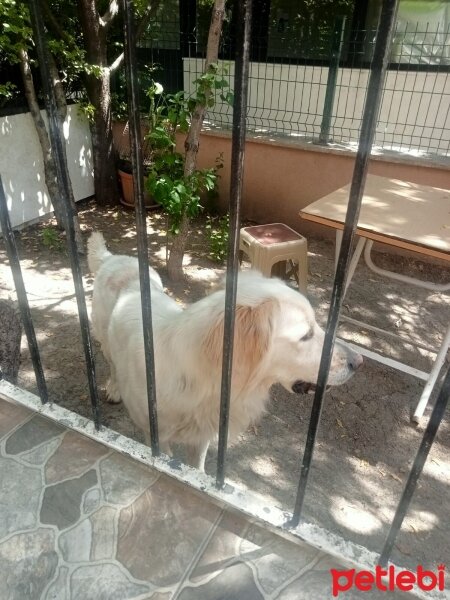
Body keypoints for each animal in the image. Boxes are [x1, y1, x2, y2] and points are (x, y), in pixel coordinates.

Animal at [87, 232, 362, 472]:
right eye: (306, 334)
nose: (358, 361)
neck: (204, 382)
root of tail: (113, 258)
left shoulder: (202, 436)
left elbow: (197, 469)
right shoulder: (156, 436)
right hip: (105, 340)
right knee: (111, 364)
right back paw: (113, 388)